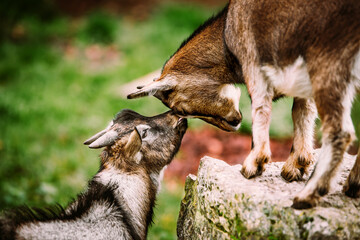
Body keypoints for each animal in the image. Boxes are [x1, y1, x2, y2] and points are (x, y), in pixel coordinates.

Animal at [127, 0, 360, 208]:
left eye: (181, 108)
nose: (233, 123)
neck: (226, 30)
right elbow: (301, 110)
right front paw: (296, 166)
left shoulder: (253, 57)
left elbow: (261, 107)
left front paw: (253, 165)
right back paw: (352, 185)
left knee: (340, 131)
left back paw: (307, 196)